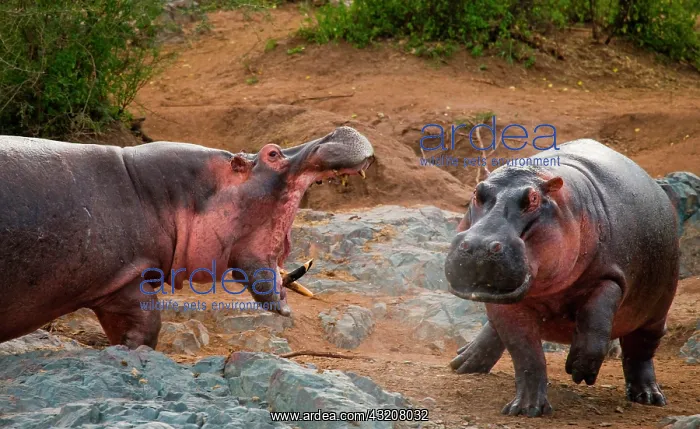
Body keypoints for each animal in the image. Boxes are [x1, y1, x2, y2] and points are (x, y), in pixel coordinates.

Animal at [444, 139, 680, 417]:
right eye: (476, 193)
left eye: (533, 199)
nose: (479, 246)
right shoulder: (503, 302)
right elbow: (526, 354)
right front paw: (526, 409)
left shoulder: (610, 276)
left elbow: (596, 320)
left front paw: (580, 370)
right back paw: (464, 363)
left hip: (656, 311)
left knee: (640, 351)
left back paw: (649, 397)